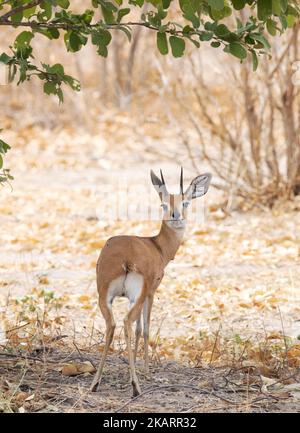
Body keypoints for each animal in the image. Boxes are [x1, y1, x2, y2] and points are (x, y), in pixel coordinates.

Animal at [90, 168, 212, 394]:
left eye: (185, 202)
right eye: (163, 203)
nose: (175, 217)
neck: (157, 247)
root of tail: (125, 259)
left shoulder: (131, 297)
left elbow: (138, 330)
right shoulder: (151, 292)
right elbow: (144, 329)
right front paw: (145, 371)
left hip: (105, 296)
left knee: (112, 325)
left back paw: (96, 382)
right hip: (138, 295)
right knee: (127, 322)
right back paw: (135, 386)